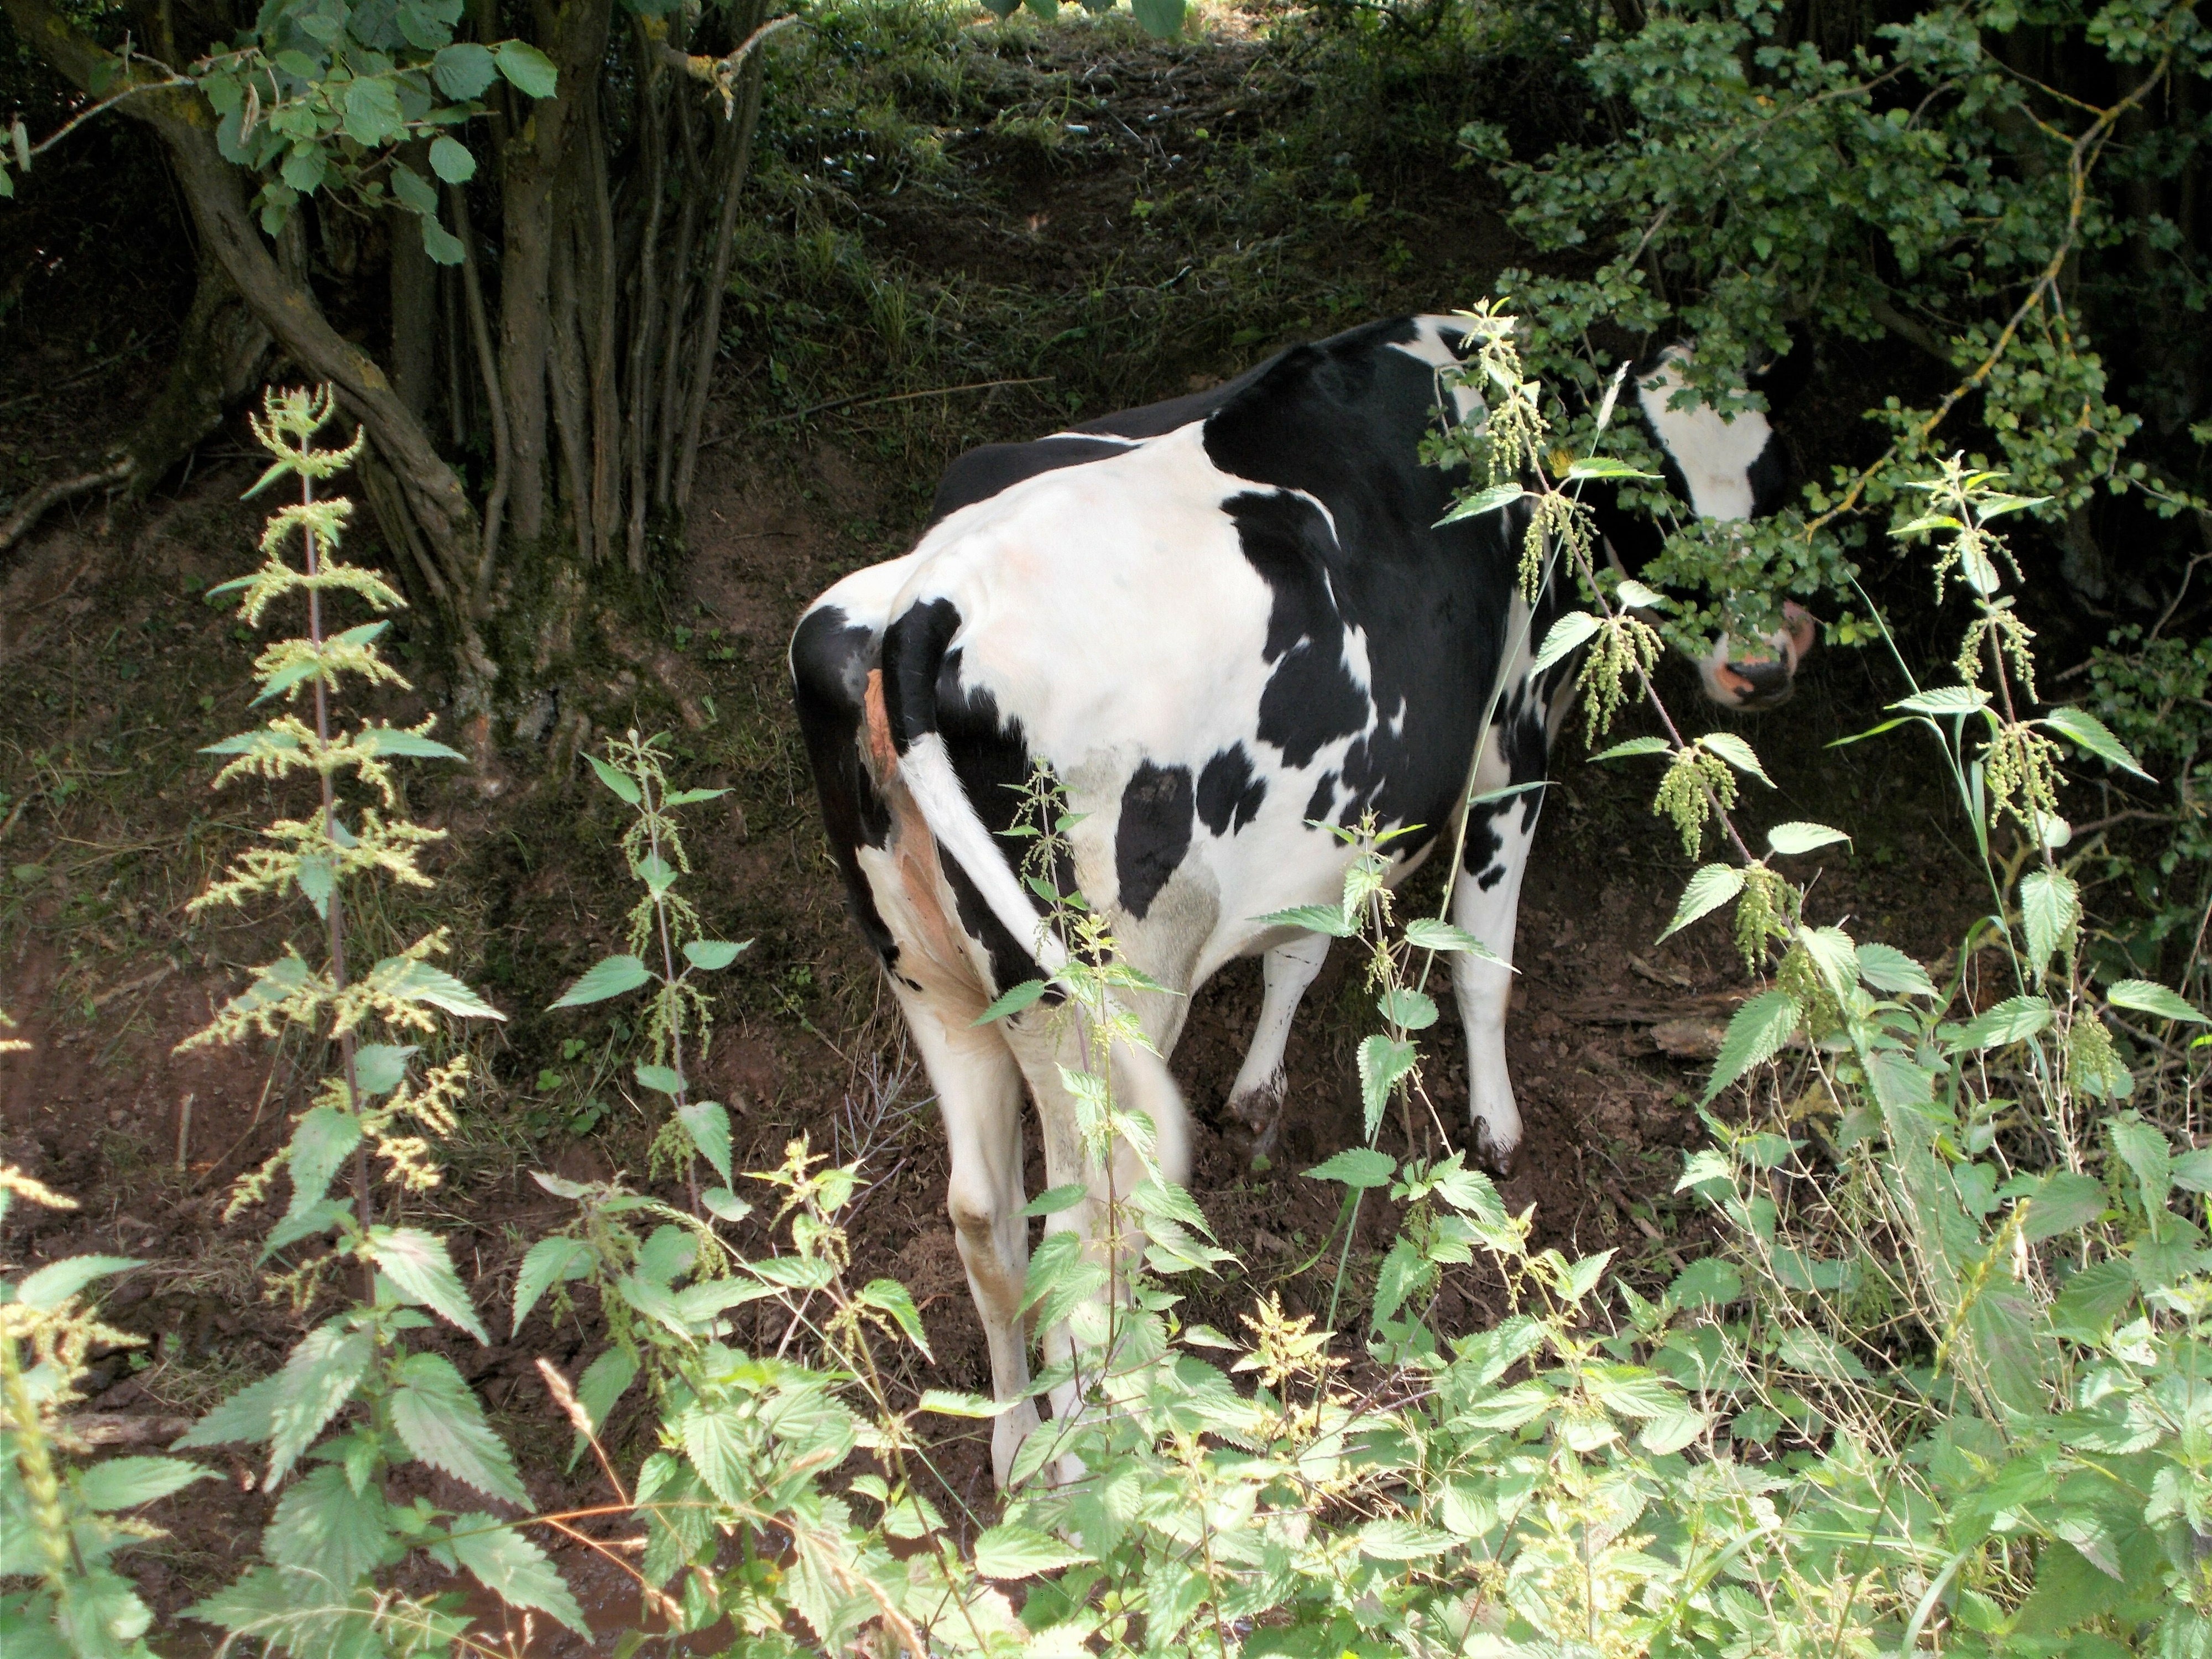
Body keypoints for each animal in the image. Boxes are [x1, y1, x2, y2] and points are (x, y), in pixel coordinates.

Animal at [790, 314, 1803, 1483]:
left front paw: (1261, 1092)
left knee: (983, 1218)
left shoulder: (1332, 817)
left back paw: (1018, 1452)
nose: (1763, 665)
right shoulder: (1514, 725)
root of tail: (928, 601)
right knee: (1083, 1253)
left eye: (1773, 468)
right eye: (1664, 481)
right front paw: (1497, 1132)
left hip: (933, 982)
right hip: (1104, 1010)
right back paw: (1101, 1478)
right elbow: (1482, 961)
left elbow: (1300, 948)